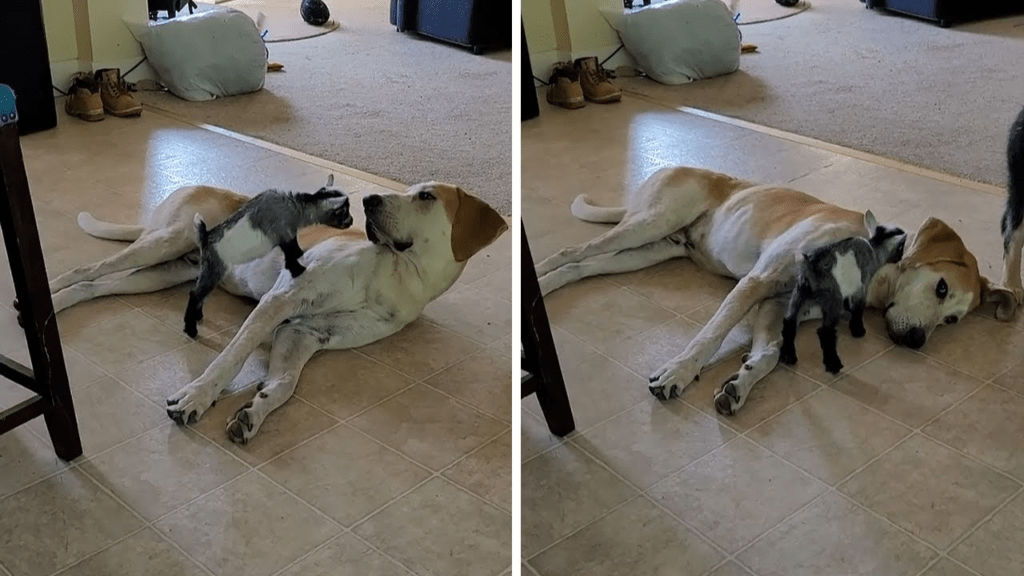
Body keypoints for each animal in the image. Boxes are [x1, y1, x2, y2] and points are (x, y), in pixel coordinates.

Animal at [179, 174, 348, 336]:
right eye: (345, 212)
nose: (351, 221)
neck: (297, 205)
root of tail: (205, 236)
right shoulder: (285, 235)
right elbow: (291, 256)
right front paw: (300, 269)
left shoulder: (287, 236)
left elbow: (294, 252)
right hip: (215, 268)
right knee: (195, 295)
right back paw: (191, 330)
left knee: (201, 294)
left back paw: (198, 316)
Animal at [774, 210, 905, 373]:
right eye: (901, 248)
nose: (902, 257)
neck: (873, 247)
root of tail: (810, 267)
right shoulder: (862, 286)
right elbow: (858, 309)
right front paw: (858, 330)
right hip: (833, 299)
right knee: (825, 331)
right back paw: (833, 364)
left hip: (799, 293)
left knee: (789, 322)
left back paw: (788, 356)